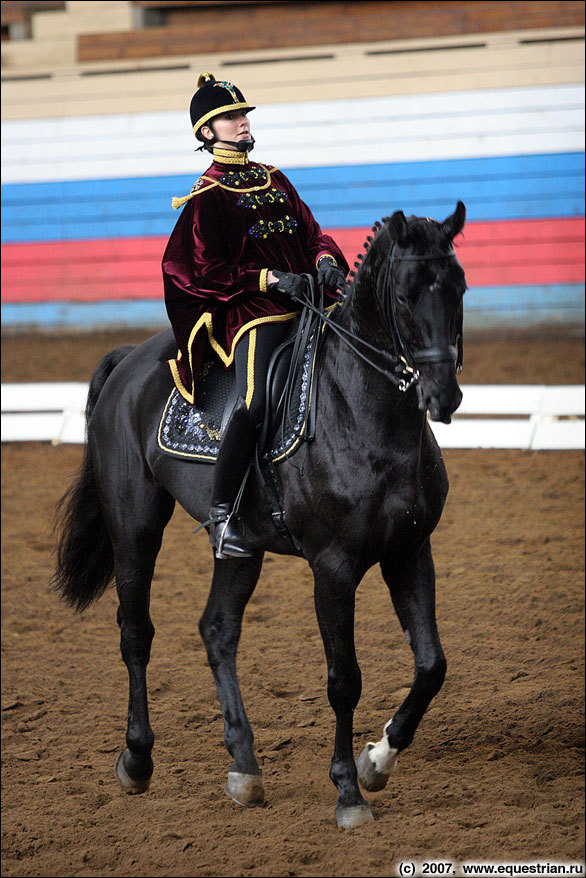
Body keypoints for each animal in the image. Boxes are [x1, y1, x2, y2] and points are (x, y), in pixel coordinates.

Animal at [53, 203, 466, 828]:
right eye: (403, 296)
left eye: (459, 287)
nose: (444, 397)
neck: (363, 411)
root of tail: (129, 362)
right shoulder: (334, 567)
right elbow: (344, 681)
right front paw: (349, 792)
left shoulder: (409, 551)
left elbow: (432, 665)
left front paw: (377, 759)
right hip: (135, 528)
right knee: (136, 632)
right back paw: (138, 760)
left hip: (241, 545)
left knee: (217, 630)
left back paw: (245, 768)